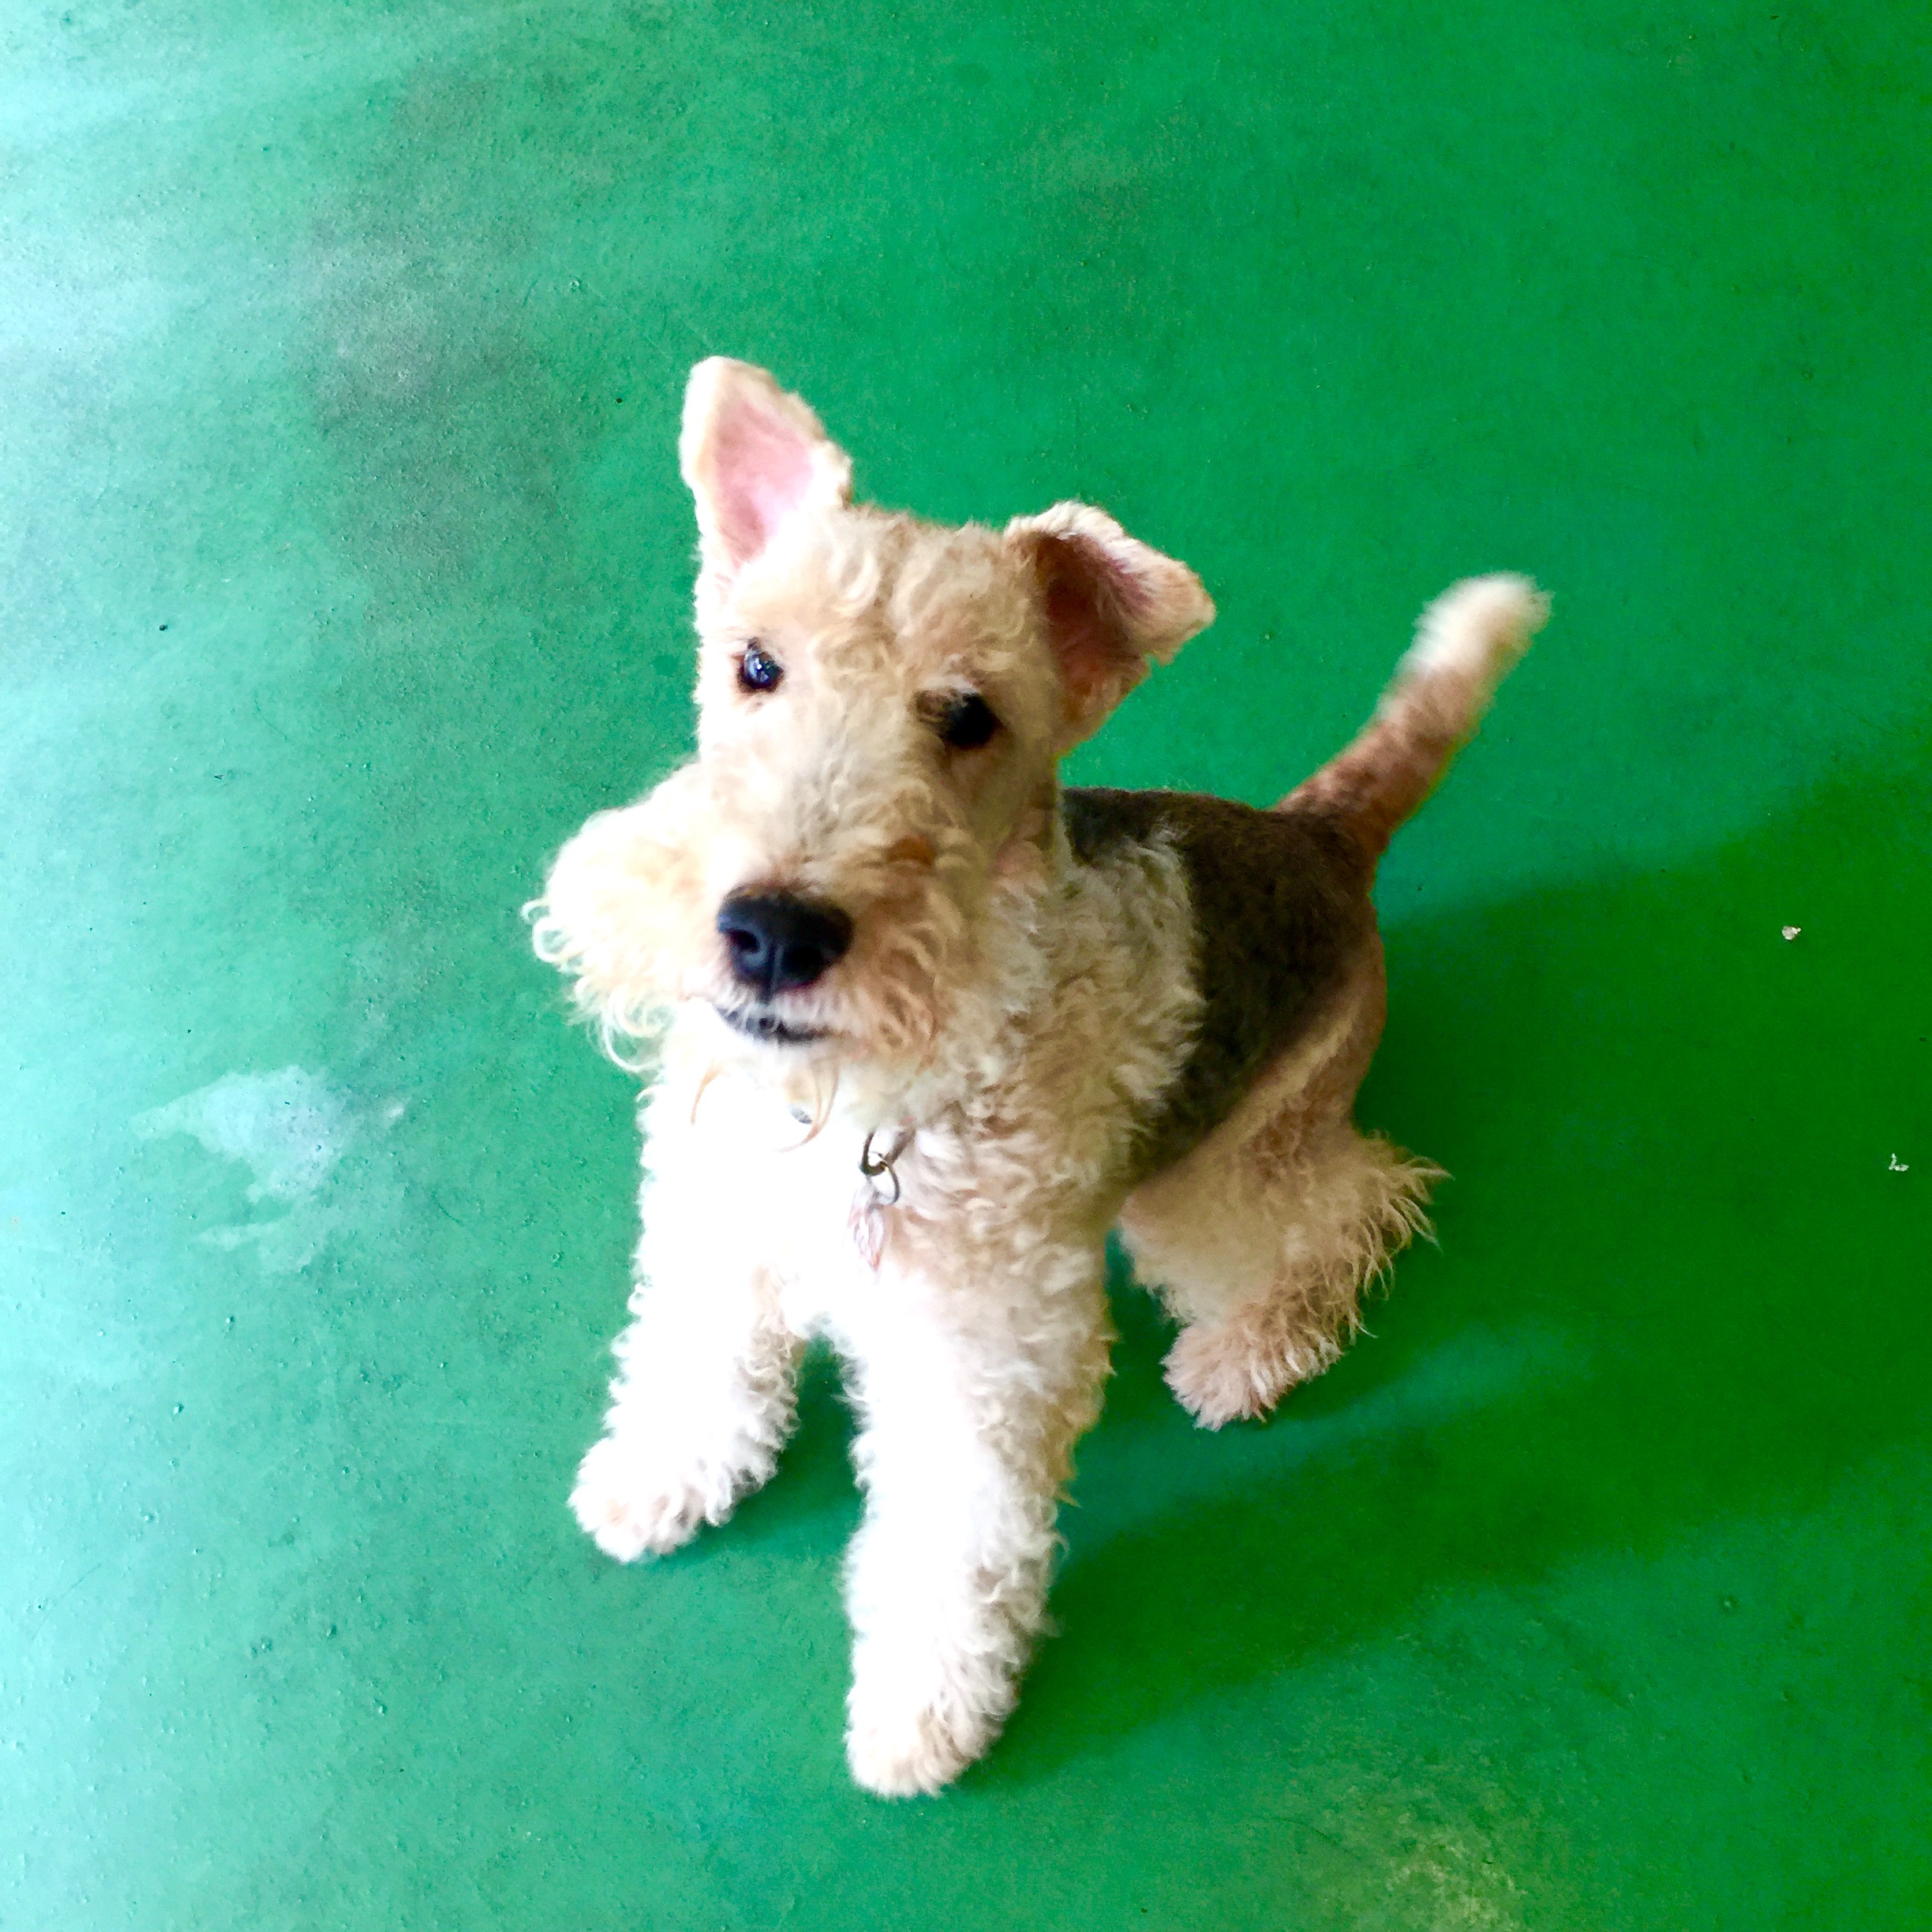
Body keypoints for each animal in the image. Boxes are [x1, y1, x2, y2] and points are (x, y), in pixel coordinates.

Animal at [531, 358, 1544, 1796]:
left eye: (970, 718)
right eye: (754, 666)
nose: (774, 930)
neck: (863, 1118)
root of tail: (1319, 838)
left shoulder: (982, 1362)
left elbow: (954, 1551)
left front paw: (921, 1715)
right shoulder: (720, 1222)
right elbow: (698, 1359)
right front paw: (661, 1476)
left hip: (1201, 1193)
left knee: (1361, 1201)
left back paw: (1244, 1356)